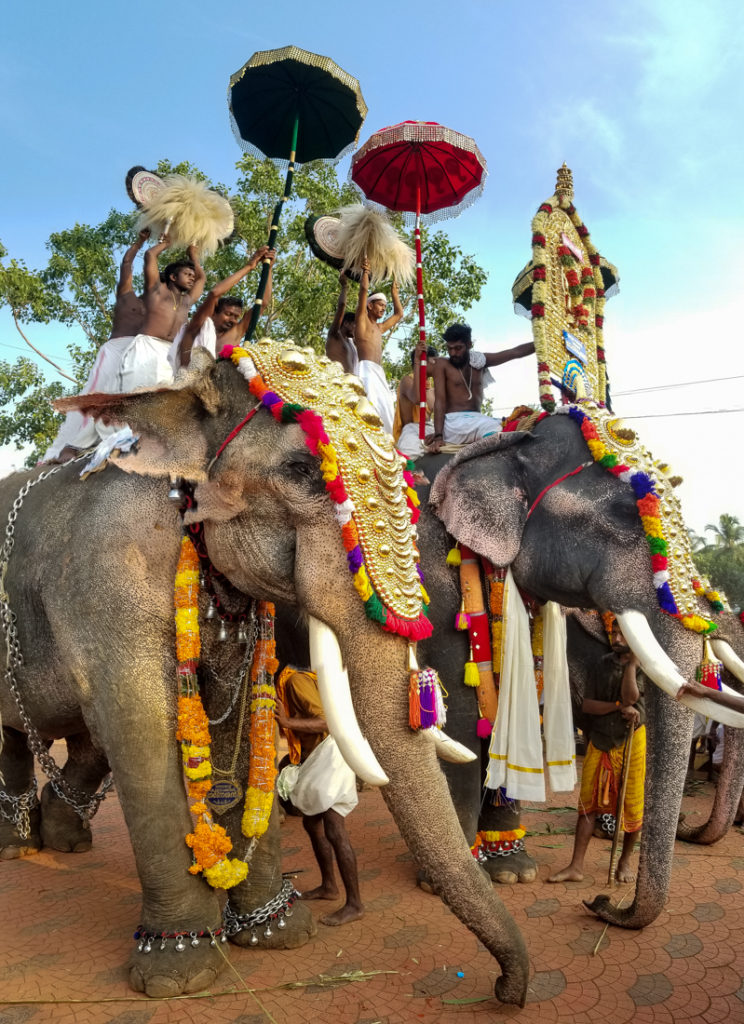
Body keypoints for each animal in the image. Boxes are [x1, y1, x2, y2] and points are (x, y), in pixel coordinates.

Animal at [0, 350, 536, 1007]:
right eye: (303, 469)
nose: (506, 990)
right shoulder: (105, 578)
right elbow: (139, 731)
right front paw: (179, 973)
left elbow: (232, 725)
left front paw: (279, 932)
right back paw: (20, 848)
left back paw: (61, 843)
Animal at [419, 411, 744, 933]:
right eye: (625, 513)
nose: (604, 901)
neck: (508, 441)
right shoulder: (432, 573)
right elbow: (464, 718)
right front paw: (450, 878)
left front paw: (512, 871)